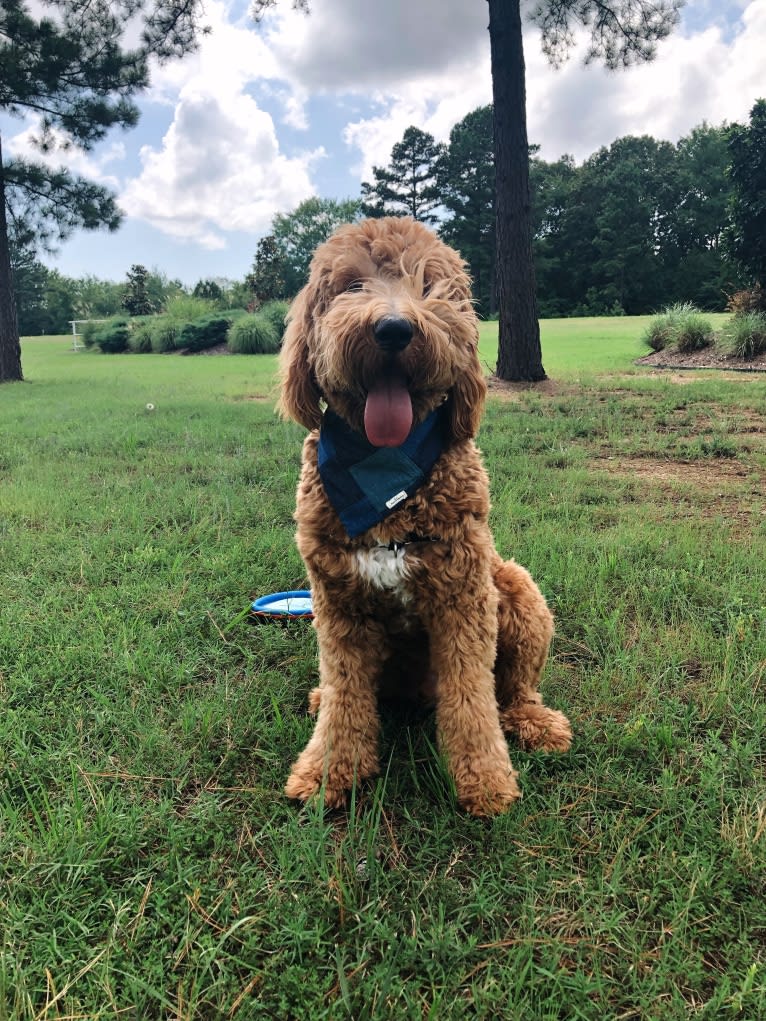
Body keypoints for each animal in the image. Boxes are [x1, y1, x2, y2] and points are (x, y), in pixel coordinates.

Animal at [279, 219, 571, 816]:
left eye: (430, 285)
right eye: (351, 285)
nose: (393, 328)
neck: (386, 478)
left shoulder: (463, 597)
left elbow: (472, 699)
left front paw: (485, 781)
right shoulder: (338, 606)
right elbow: (346, 695)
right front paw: (327, 772)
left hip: (517, 590)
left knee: (513, 688)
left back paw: (535, 722)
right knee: (348, 691)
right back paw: (321, 697)